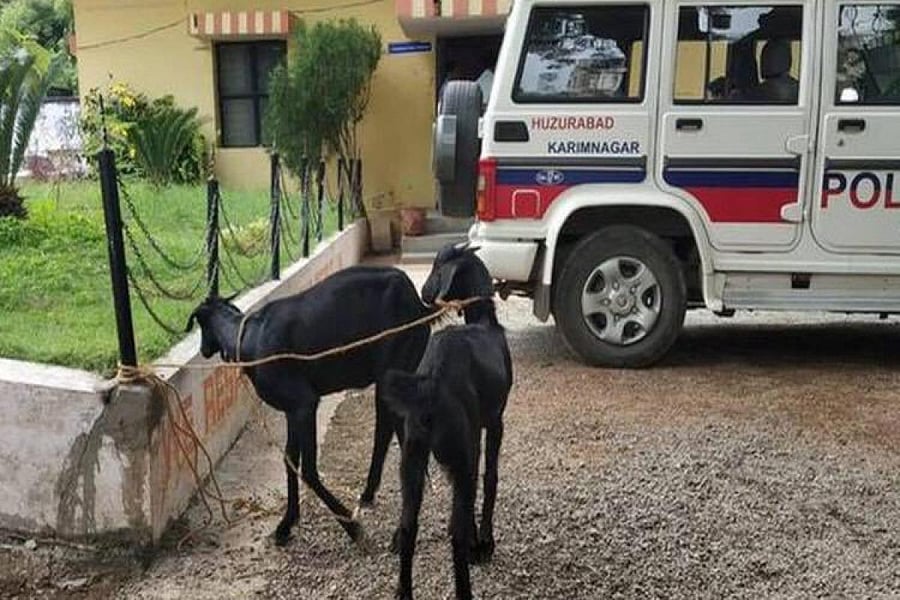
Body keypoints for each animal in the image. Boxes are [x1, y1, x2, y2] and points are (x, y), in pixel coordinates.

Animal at [185, 265, 430, 546]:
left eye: (200, 325)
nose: (204, 350)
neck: (248, 337)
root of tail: (417, 304)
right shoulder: (291, 410)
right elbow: (290, 459)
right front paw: (286, 525)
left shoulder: (303, 402)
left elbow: (309, 469)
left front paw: (351, 526)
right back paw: (371, 495)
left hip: (395, 366)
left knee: (391, 433)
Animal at [383, 243, 511, 600]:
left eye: (436, 268)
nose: (425, 293)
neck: (484, 321)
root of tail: (431, 381)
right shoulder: (495, 422)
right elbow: (491, 477)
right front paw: (484, 543)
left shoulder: (475, 435)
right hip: (457, 454)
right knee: (454, 532)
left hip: (412, 457)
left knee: (408, 525)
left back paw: (404, 592)